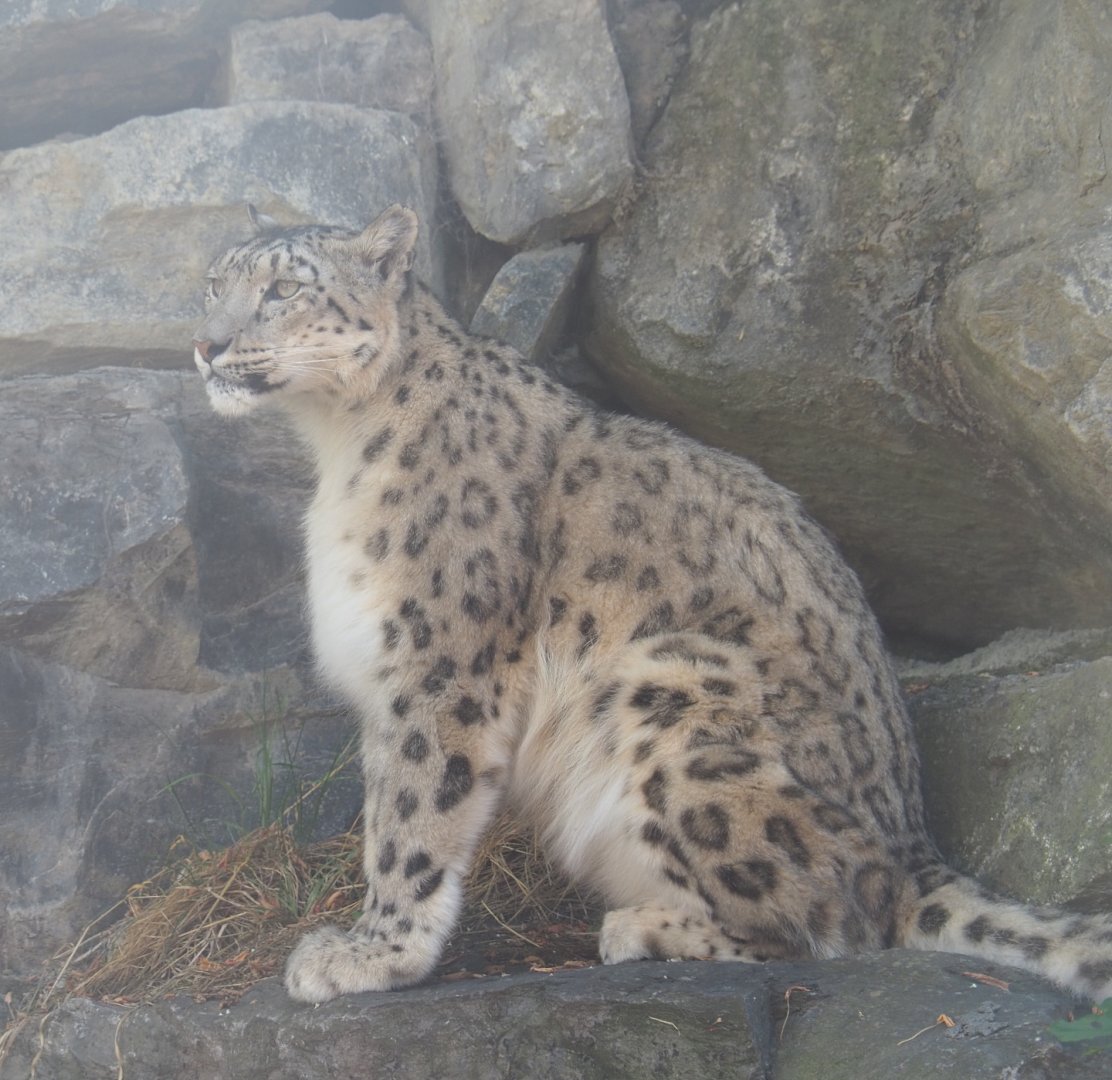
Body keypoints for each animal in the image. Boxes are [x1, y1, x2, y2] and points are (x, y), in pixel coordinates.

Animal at [192, 204, 1112, 1005]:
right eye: (212, 284)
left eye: (285, 288)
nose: (205, 345)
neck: (337, 446)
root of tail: (914, 845)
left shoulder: (439, 662)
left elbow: (411, 814)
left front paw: (371, 955)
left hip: (670, 689)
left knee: (841, 922)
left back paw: (647, 927)